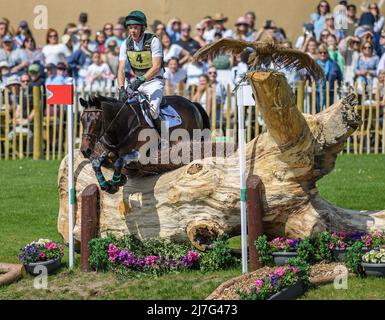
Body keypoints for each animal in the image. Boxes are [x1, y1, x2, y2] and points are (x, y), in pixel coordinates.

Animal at [79, 92, 210, 192]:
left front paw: (116, 182)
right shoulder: (107, 151)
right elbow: (96, 163)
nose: (85, 150)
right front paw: (106, 184)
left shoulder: (141, 154)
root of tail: (192, 103)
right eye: (81, 119)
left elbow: (119, 162)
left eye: (97, 120)